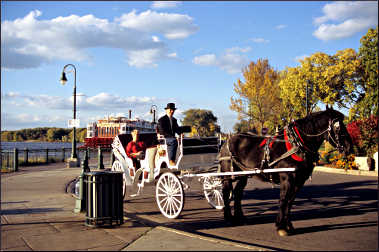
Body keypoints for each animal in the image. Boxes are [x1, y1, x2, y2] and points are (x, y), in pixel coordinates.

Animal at [218, 107, 354, 236]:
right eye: (337, 127)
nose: (349, 147)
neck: (296, 144)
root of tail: (227, 140)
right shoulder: (287, 178)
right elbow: (283, 200)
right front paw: (281, 227)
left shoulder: (299, 180)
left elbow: (290, 201)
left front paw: (288, 226)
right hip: (227, 175)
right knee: (226, 192)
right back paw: (229, 218)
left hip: (244, 175)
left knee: (237, 193)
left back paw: (240, 218)